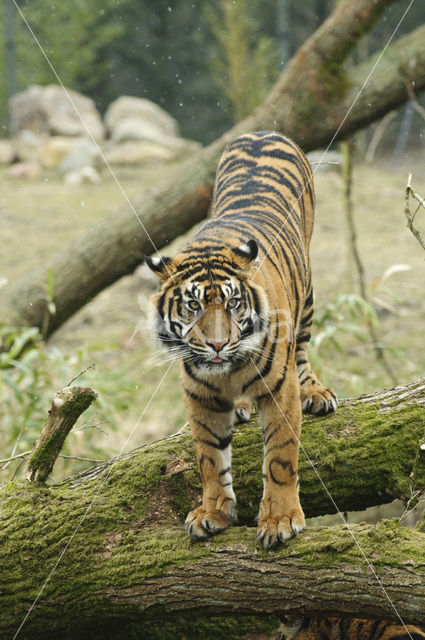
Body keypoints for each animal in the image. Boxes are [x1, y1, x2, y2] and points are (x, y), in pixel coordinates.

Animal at [147, 131, 336, 552]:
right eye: (193, 306)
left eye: (233, 304)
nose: (217, 346)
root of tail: (263, 131)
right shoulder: (200, 395)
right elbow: (209, 459)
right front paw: (212, 513)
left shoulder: (279, 391)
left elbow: (280, 457)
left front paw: (280, 520)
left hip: (307, 293)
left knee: (302, 349)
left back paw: (315, 393)